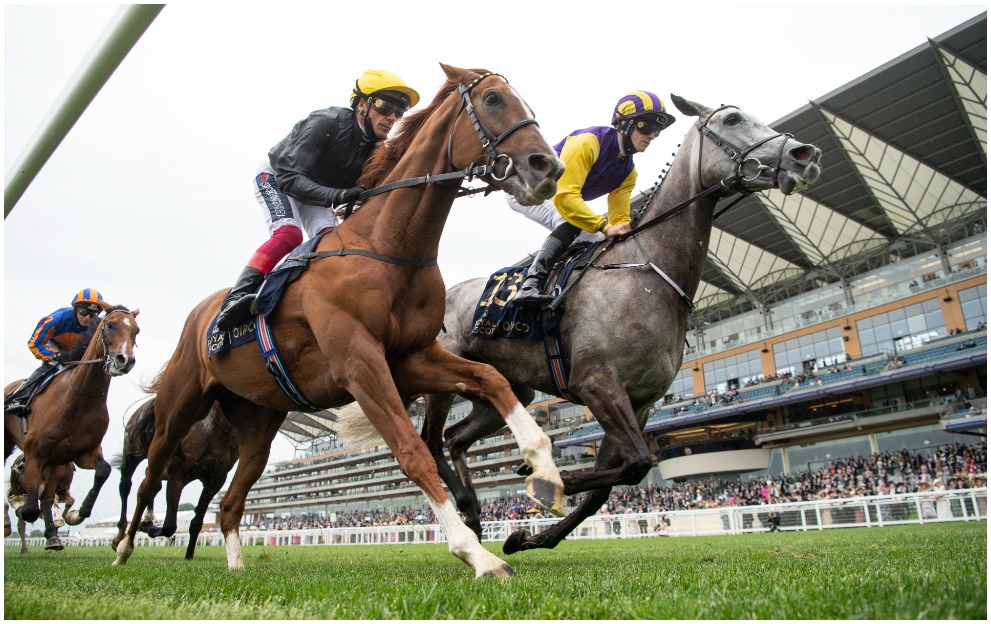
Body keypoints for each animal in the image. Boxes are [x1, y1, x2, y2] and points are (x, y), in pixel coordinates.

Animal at [2, 304, 140, 548]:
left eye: (136, 331)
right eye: (110, 325)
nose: (125, 360)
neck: (78, 399)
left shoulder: (82, 453)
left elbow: (103, 471)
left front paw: (77, 513)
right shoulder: (35, 452)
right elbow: (29, 507)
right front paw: (23, 509)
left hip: (57, 463)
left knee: (47, 496)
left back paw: (52, 536)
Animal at [111, 398, 238, 564]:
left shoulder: (215, 481)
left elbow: (196, 522)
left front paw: (189, 554)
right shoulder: (177, 473)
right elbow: (170, 525)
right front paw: (147, 528)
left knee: (150, 481)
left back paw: (148, 517)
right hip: (131, 454)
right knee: (126, 486)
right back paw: (119, 536)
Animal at [418, 92, 820, 552]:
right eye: (733, 119)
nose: (805, 155)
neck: (648, 271)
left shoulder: (639, 401)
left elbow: (616, 479)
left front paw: (529, 535)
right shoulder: (596, 383)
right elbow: (637, 462)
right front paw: (541, 482)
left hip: (506, 389)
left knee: (454, 438)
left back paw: (474, 512)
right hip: (441, 380)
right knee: (430, 441)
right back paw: (467, 504)